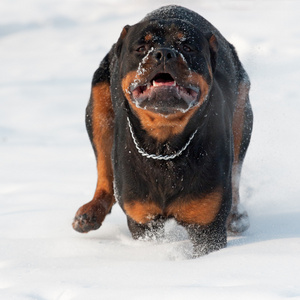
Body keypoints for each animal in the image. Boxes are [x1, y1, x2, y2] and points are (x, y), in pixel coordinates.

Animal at [72, 5, 253, 255]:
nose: (164, 53)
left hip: (242, 114)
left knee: (236, 168)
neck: (165, 146)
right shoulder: (143, 221)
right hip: (98, 104)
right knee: (104, 169)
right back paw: (90, 213)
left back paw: (236, 216)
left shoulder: (207, 226)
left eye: (188, 47)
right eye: (141, 48)